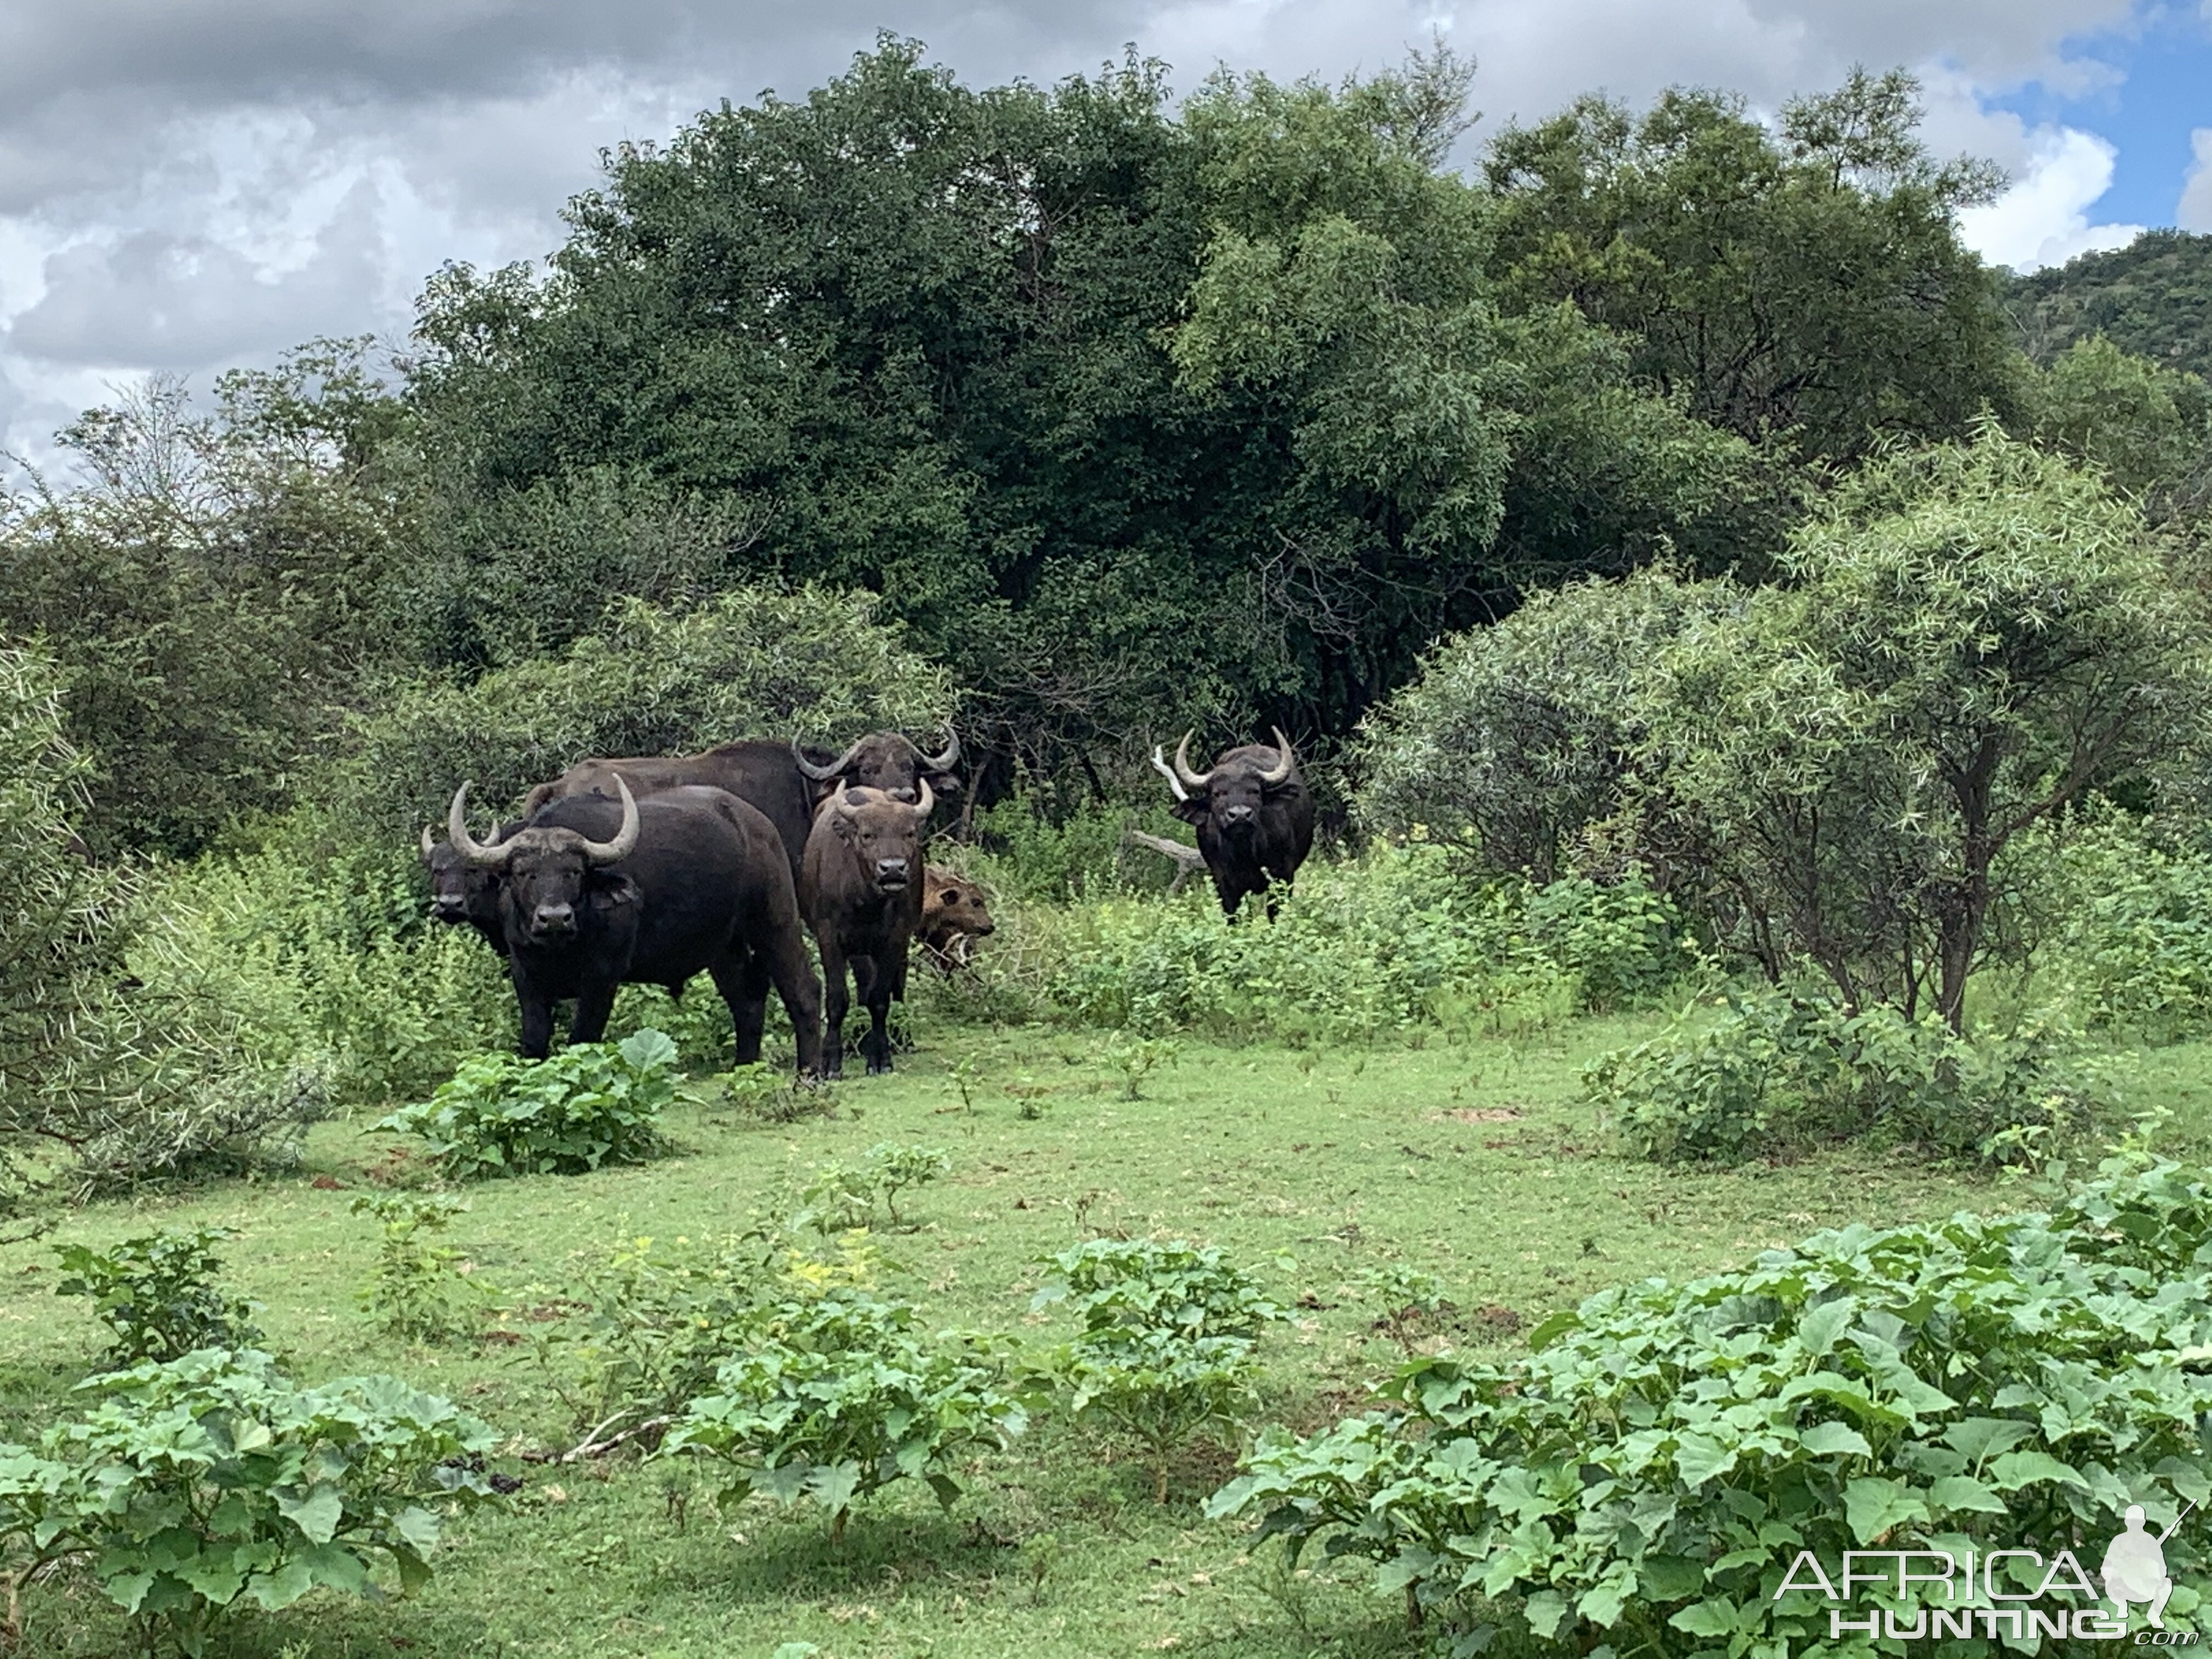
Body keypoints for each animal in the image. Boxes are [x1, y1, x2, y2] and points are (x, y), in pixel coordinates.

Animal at [447, 783, 822, 1079]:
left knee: (804, 990)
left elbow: (582, 1040)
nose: (554, 918)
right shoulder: (526, 975)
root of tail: (759, 826)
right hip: (725, 947)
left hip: (776, 922)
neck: (563, 946)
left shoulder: (602, 976)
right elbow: (534, 1042)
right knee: (747, 1001)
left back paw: (808, 1077)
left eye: (574, 872)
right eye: (525, 873)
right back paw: (742, 1073)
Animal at [796, 778, 933, 1079]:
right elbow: (837, 1000)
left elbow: (879, 998)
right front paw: (831, 1064)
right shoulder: (829, 937)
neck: (865, 901)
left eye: (909, 833)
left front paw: (880, 1058)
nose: (892, 869)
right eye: (868, 835)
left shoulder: (895, 938)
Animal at [1159, 730, 1309, 924]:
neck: (1245, 853)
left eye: (1255, 791)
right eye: (1218, 794)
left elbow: (1275, 912)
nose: (1239, 815)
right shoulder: (1224, 882)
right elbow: (1232, 915)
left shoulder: (1283, 875)